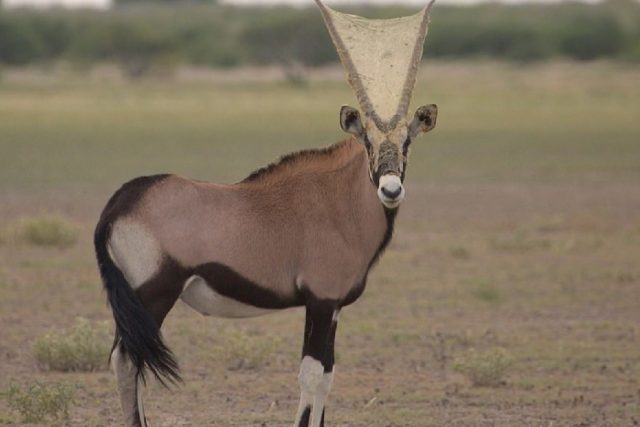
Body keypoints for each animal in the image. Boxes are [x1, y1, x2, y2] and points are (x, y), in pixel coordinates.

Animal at [94, 1, 436, 426]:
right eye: (367, 142)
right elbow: (312, 375)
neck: (338, 201)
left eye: (407, 141)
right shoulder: (320, 301)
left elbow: (327, 376)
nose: (390, 190)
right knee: (127, 360)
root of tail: (123, 200)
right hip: (153, 293)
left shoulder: (334, 309)